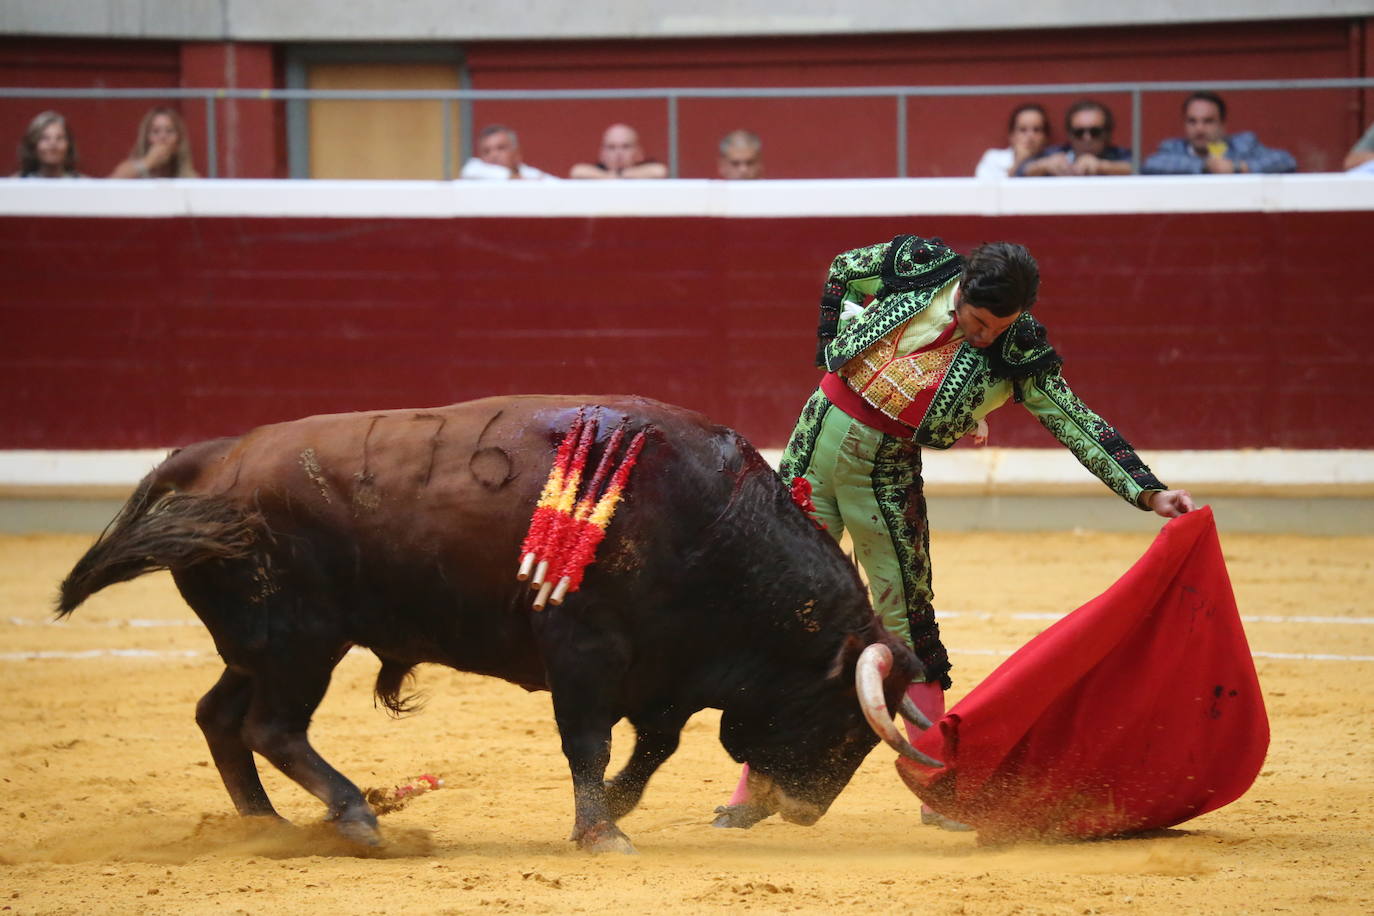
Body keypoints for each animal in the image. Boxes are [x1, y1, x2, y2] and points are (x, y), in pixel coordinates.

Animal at [56, 395, 934, 851]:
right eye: (845, 723)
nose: (806, 811)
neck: (714, 525)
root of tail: (214, 456)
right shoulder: (583, 650)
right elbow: (592, 742)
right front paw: (600, 833)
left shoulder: (666, 672)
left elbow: (654, 748)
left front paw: (614, 813)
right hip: (301, 644)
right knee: (271, 726)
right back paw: (354, 816)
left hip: (263, 645)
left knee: (221, 716)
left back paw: (264, 825)